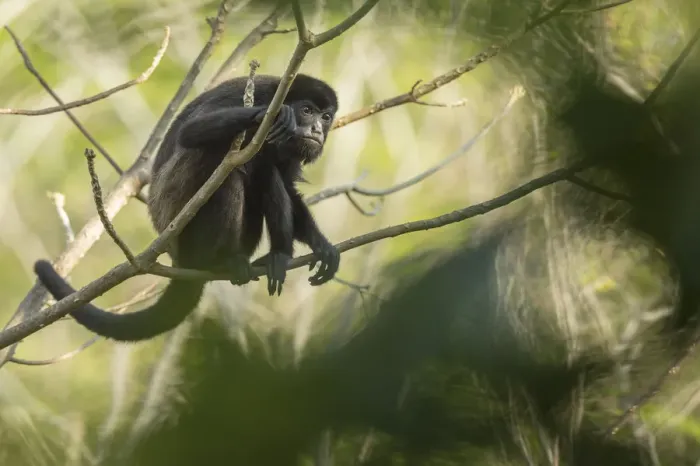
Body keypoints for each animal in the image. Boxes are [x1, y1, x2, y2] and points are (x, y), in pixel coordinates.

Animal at [34, 73, 341, 342]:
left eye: (326, 117)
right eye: (307, 111)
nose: (317, 130)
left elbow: (288, 185)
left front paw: (321, 245)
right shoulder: (258, 95)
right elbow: (191, 132)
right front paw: (273, 115)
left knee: (267, 174)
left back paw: (277, 257)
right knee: (219, 161)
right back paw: (224, 261)